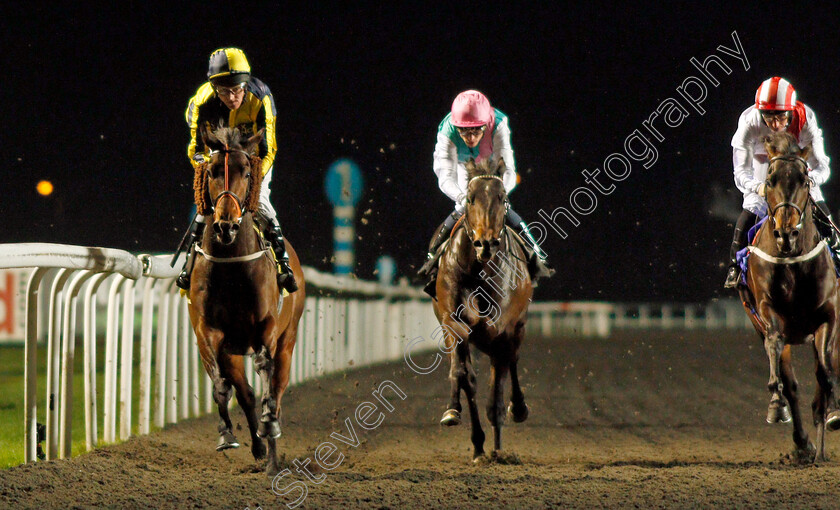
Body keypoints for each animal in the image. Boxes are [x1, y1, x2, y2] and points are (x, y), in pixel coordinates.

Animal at [189, 125, 306, 476]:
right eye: (212, 172)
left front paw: (269, 429)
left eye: (246, 171)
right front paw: (227, 434)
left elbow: (266, 373)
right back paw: (258, 446)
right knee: (245, 393)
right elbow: (223, 386)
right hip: (232, 348)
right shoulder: (208, 331)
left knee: (277, 389)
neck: (231, 264)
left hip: (288, 338)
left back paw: (272, 452)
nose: (226, 225)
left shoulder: (266, 328)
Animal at [434, 158, 532, 462]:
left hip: (517, 327)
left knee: (509, 364)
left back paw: (509, 425)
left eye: (502, 198)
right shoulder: (452, 323)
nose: (486, 243)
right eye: (470, 199)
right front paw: (454, 413)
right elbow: (464, 375)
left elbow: (499, 379)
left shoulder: (501, 328)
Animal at [740, 130, 840, 462]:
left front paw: (833, 413)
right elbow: (777, 354)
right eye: (770, 180)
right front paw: (776, 402)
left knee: (826, 369)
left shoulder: (828, 316)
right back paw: (804, 444)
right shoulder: (768, 313)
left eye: (805, 180)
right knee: (794, 384)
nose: (786, 234)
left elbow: (825, 372)